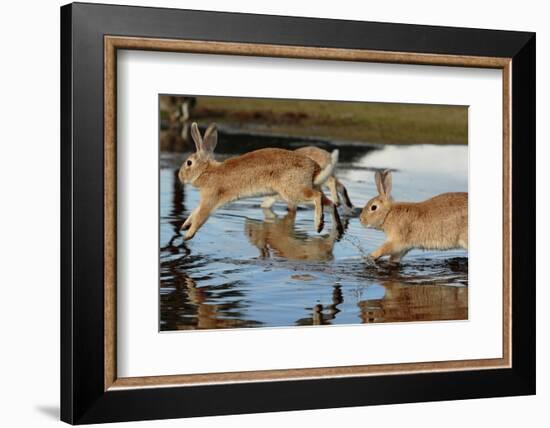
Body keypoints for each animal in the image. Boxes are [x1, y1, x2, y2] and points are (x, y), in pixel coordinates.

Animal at [180, 123, 344, 241]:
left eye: (189, 163)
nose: (180, 176)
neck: (206, 171)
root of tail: (314, 169)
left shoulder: (210, 199)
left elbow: (200, 216)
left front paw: (187, 235)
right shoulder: (205, 199)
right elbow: (195, 211)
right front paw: (184, 226)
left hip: (293, 192)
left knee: (317, 197)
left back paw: (318, 226)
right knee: (330, 204)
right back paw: (337, 231)